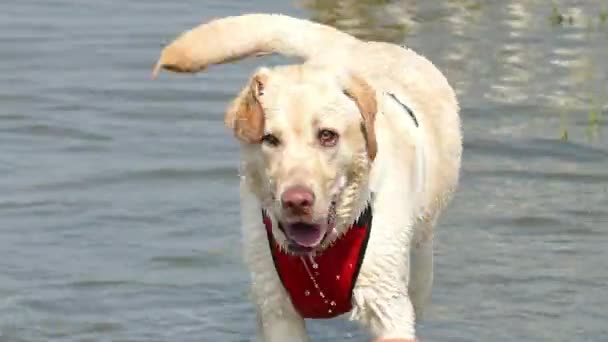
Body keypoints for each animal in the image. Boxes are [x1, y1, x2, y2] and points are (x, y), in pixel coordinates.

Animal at [152, 12, 460, 340]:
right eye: (270, 139)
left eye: (327, 136)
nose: (296, 201)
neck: (318, 257)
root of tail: (354, 44)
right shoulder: (278, 312)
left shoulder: (387, 307)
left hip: (420, 266)